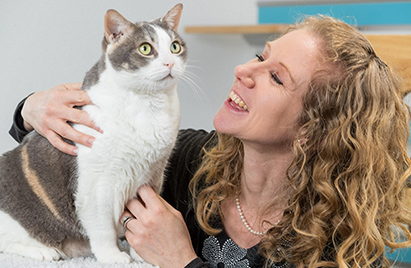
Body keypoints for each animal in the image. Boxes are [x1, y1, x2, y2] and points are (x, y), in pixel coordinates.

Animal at [0, 3, 187, 264]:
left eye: (175, 47)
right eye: (146, 49)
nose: (170, 63)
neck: (148, 106)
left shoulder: (152, 177)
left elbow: (139, 220)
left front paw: (142, 254)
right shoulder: (96, 184)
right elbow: (102, 227)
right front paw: (113, 256)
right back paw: (44, 251)